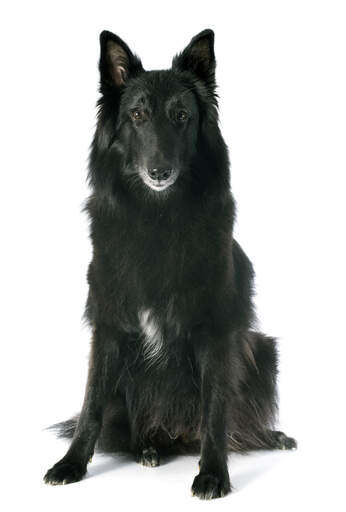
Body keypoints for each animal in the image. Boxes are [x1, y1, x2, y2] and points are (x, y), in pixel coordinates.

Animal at [44, 29, 298, 500]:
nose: (159, 171)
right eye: (138, 115)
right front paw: (71, 464)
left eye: (181, 116)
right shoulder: (109, 325)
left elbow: (216, 409)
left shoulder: (215, 332)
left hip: (263, 349)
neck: (157, 218)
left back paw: (268, 437)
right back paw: (149, 448)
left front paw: (213, 474)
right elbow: (91, 404)